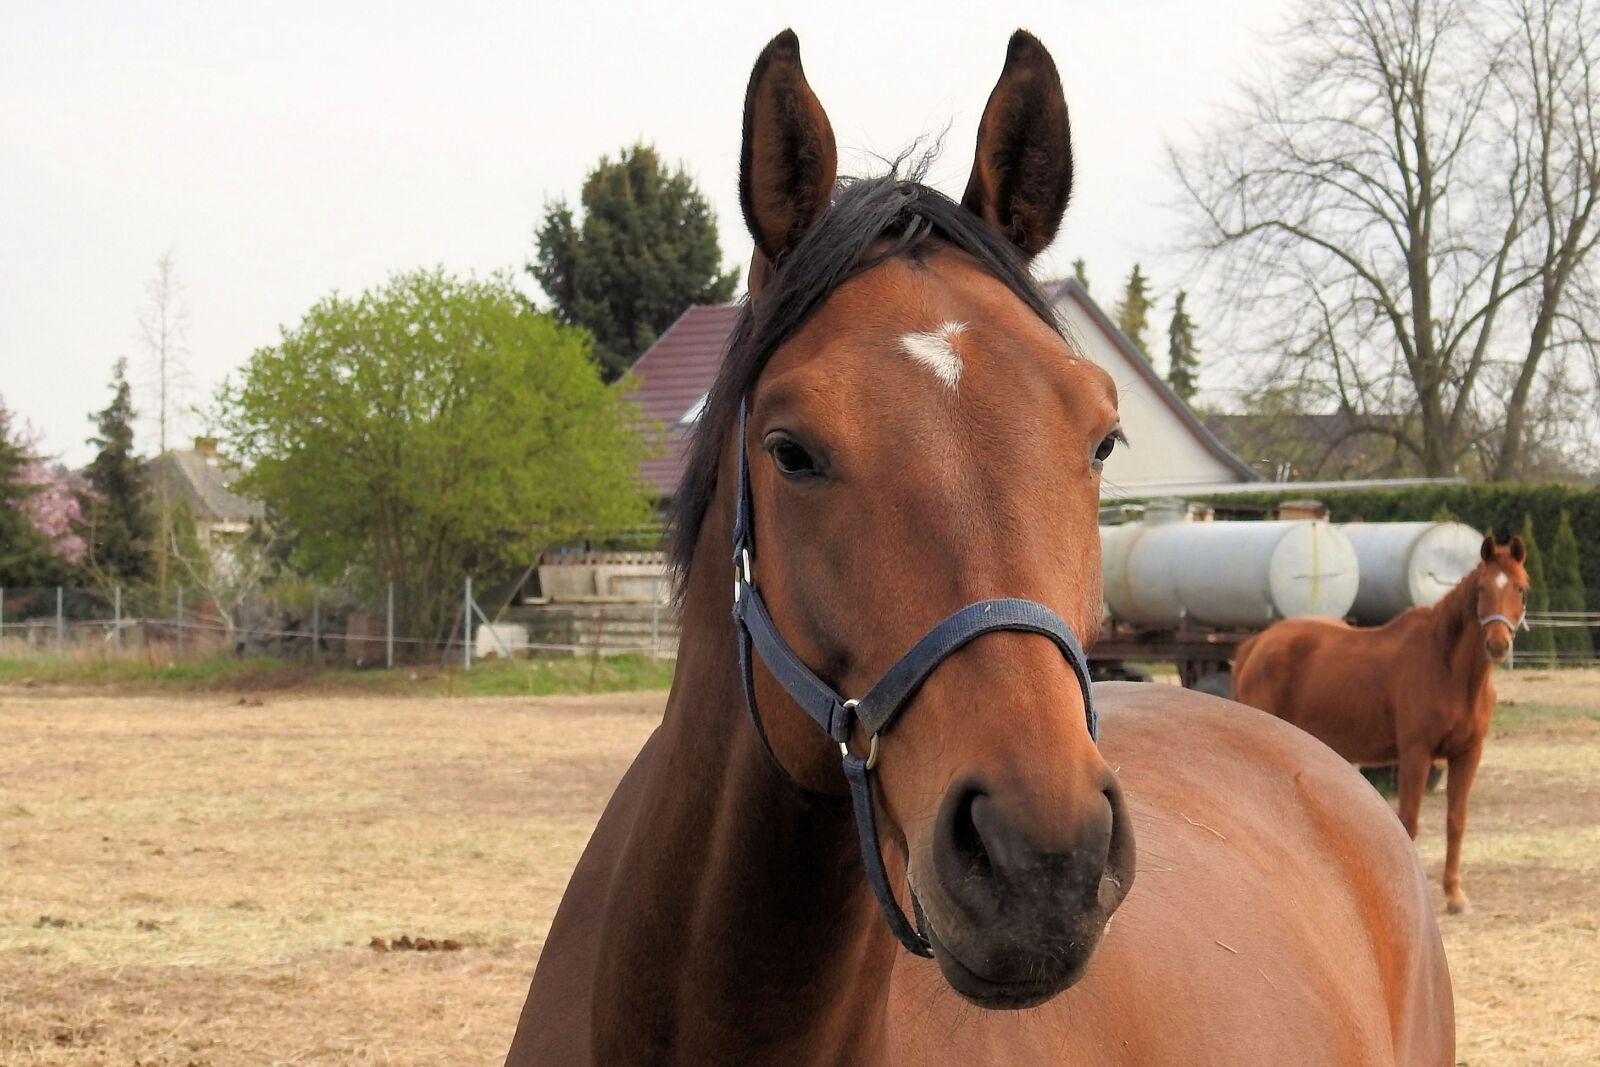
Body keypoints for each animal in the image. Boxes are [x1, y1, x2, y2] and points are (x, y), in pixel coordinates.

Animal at [1233, 534, 1529, 916]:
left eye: (1521, 589)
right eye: (1481, 588)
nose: (1497, 644)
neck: (1448, 668)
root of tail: (1256, 645)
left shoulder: (1468, 754)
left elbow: (1456, 822)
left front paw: (1455, 894)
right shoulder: (1416, 754)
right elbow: (1409, 821)